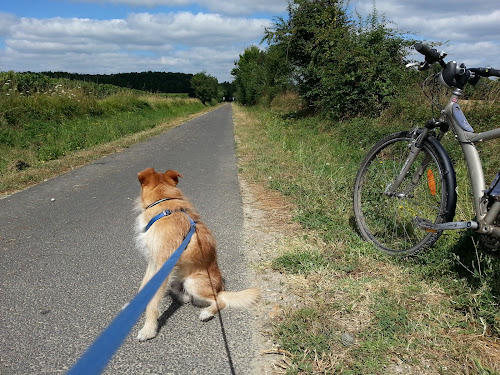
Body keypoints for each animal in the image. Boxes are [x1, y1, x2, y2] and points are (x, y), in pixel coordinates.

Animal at [135, 169, 260, 342]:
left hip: (192, 282)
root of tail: (221, 289)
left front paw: (148, 329)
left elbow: (153, 302)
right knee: (188, 296)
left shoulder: (162, 265)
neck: (164, 209)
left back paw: (207, 312)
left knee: (220, 300)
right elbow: (144, 286)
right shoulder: (152, 262)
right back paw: (183, 297)